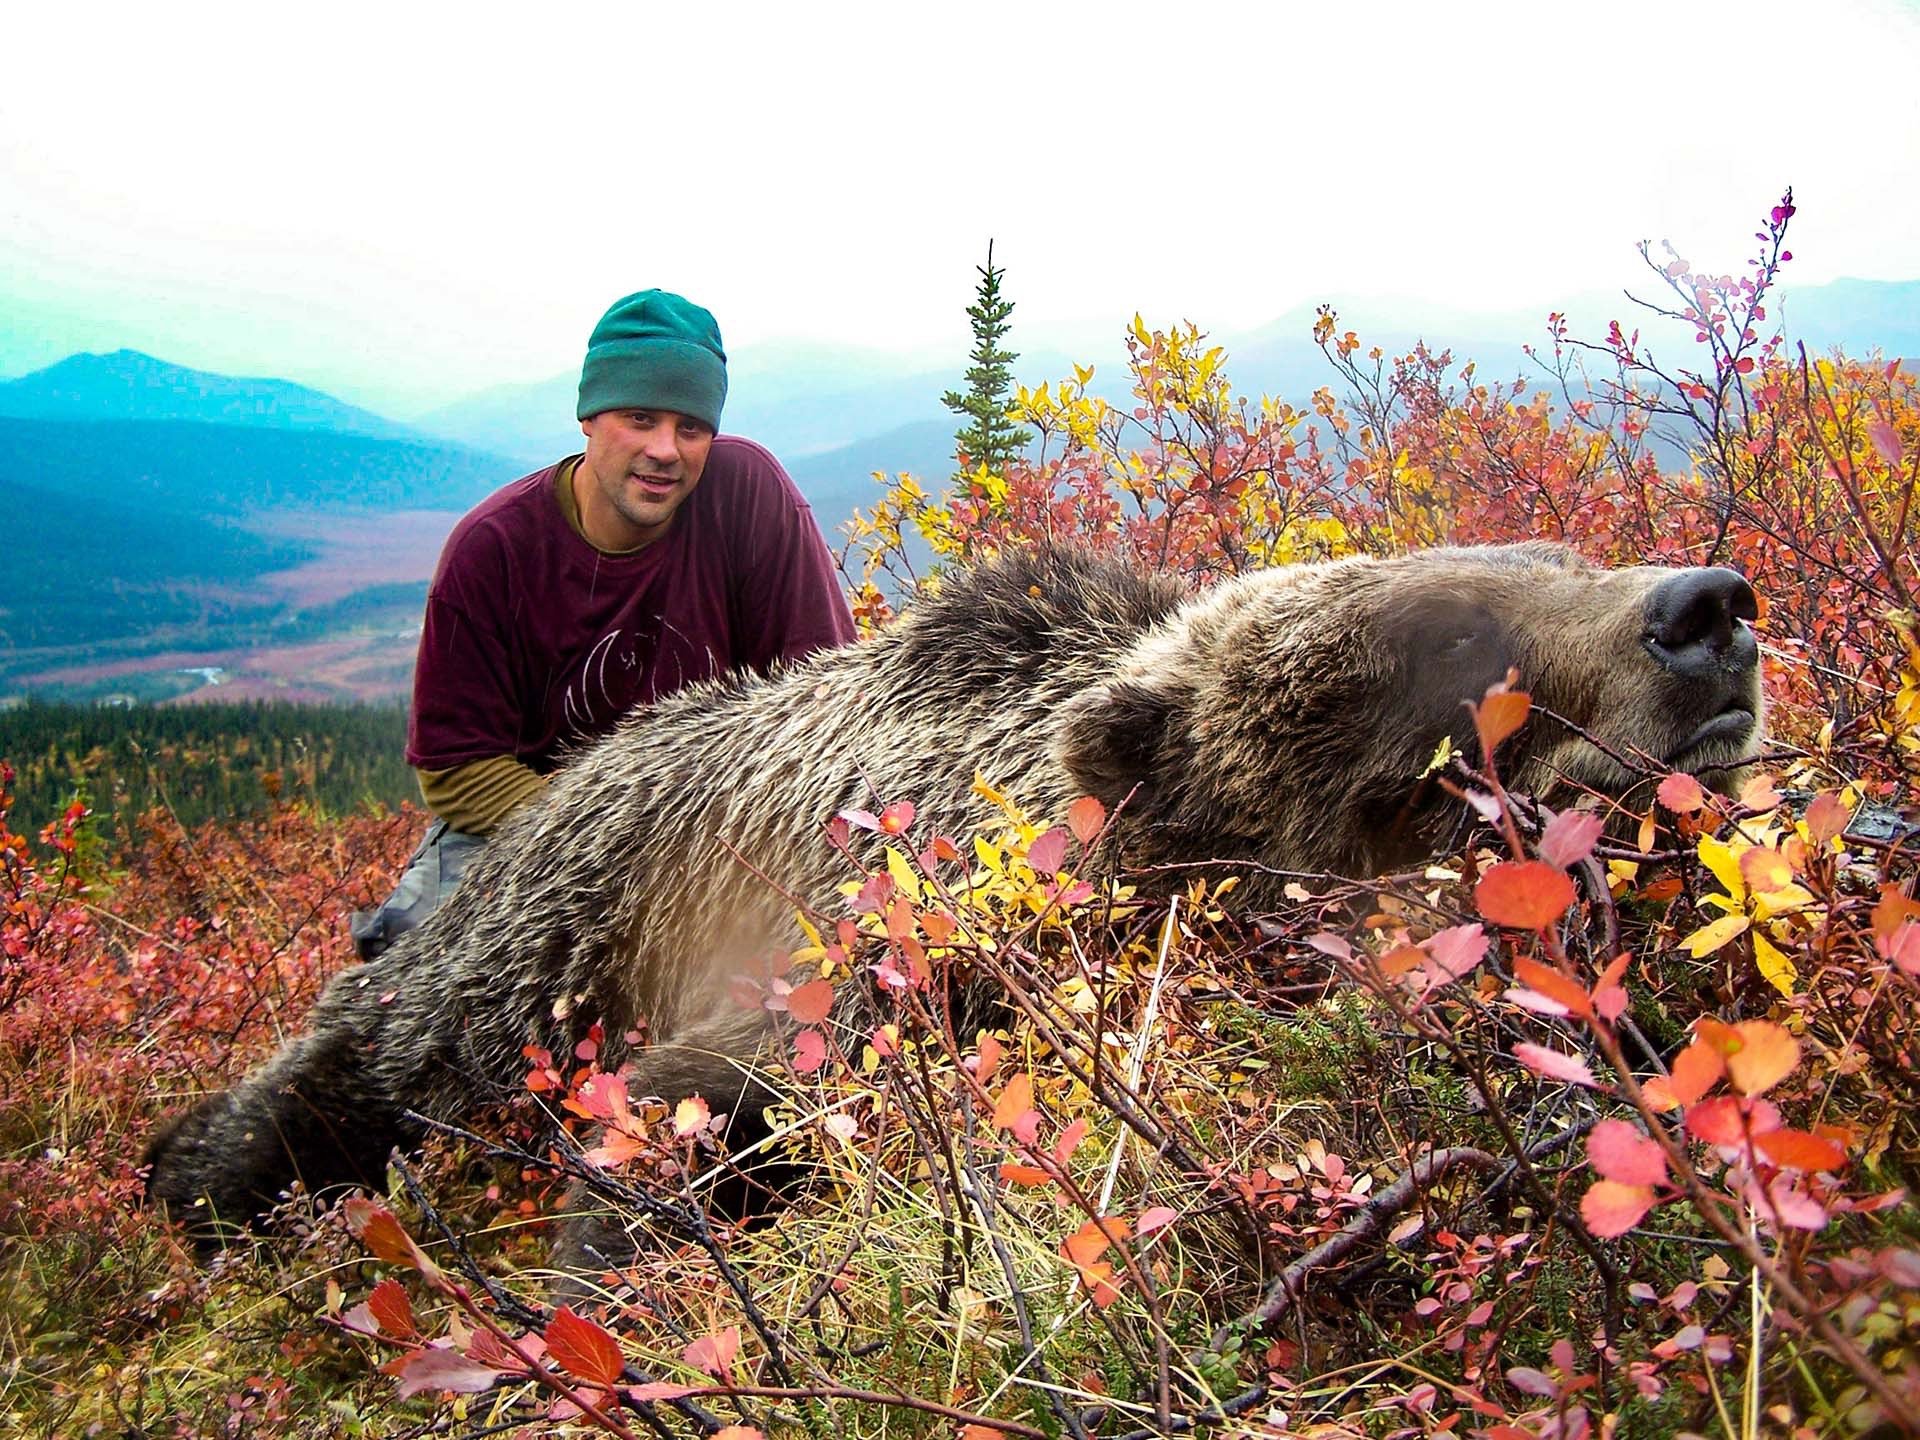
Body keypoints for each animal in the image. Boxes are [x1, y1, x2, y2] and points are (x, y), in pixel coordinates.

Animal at [144, 541, 1762, 1248]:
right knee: (366, 1062)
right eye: (1456, 627)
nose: (1708, 608)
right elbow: (685, 1112)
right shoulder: (852, 961)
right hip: (532, 942)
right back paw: (201, 1170)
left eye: (1558, 553)